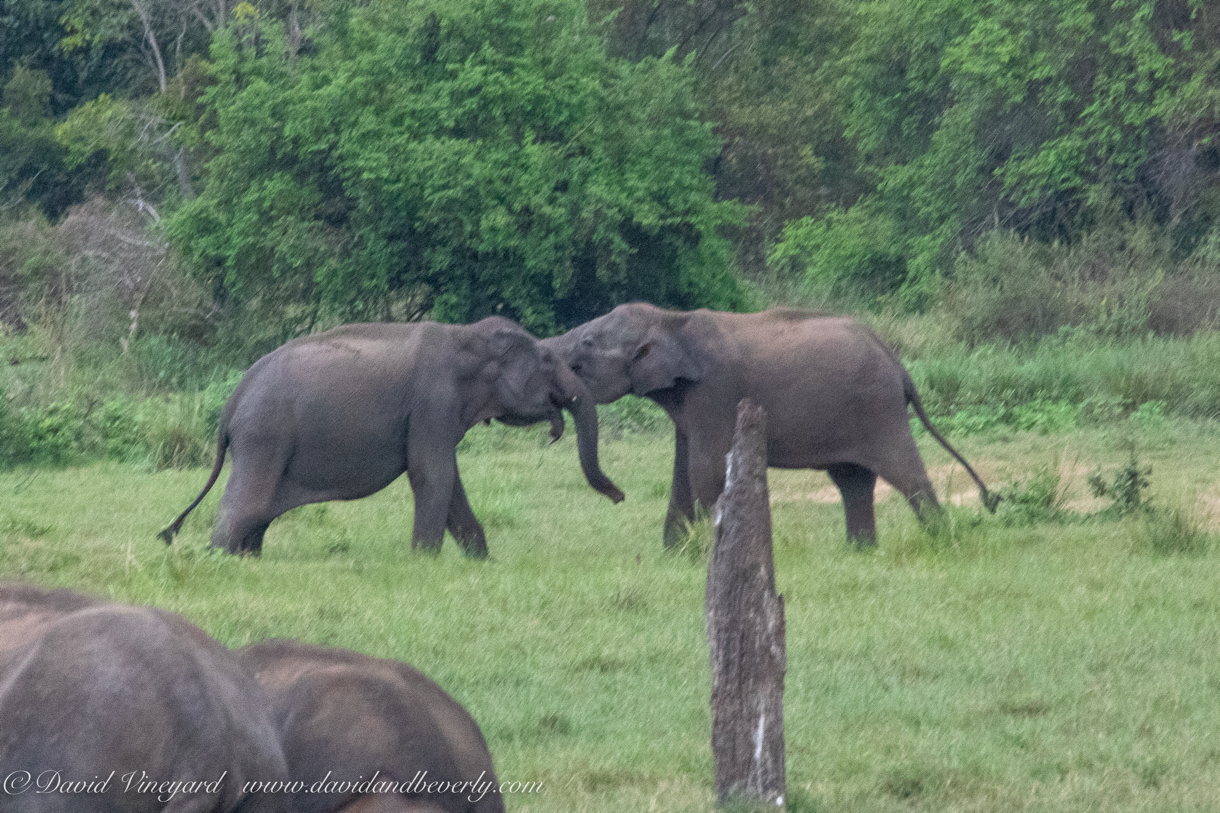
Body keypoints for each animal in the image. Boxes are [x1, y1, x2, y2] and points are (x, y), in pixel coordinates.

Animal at [157, 312, 624, 554]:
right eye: (547, 360)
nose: (620, 498)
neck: (466, 336)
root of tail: (233, 399)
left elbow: (449, 480)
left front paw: (480, 562)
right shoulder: (434, 401)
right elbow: (431, 474)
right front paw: (425, 562)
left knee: (257, 515)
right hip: (265, 437)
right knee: (246, 506)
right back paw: (220, 560)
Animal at [544, 302, 990, 544]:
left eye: (586, 344)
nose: (618, 497)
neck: (671, 320)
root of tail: (898, 364)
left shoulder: (716, 395)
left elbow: (706, 471)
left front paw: (703, 552)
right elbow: (682, 474)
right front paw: (674, 556)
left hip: (878, 411)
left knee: (906, 474)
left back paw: (942, 540)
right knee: (853, 482)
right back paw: (859, 551)